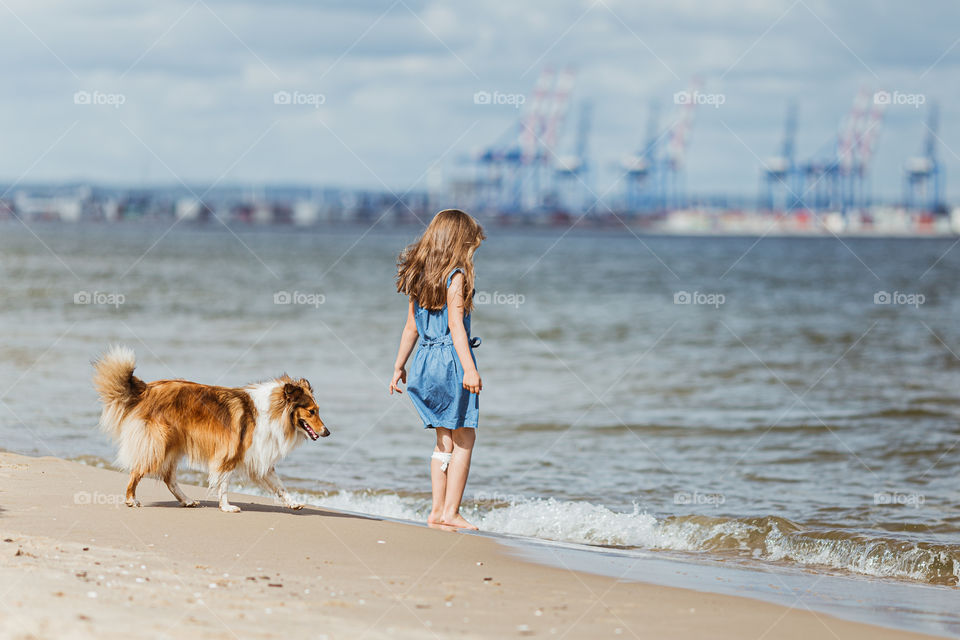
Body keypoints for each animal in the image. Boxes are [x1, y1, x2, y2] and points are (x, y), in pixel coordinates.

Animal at [93, 348, 330, 512]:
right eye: (311, 411)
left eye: (318, 410)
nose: (327, 432)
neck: (271, 411)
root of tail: (147, 388)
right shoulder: (229, 454)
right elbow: (223, 484)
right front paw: (226, 507)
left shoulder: (259, 457)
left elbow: (280, 486)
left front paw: (294, 503)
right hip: (158, 443)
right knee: (137, 471)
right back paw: (131, 500)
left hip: (173, 445)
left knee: (169, 478)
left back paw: (187, 500)